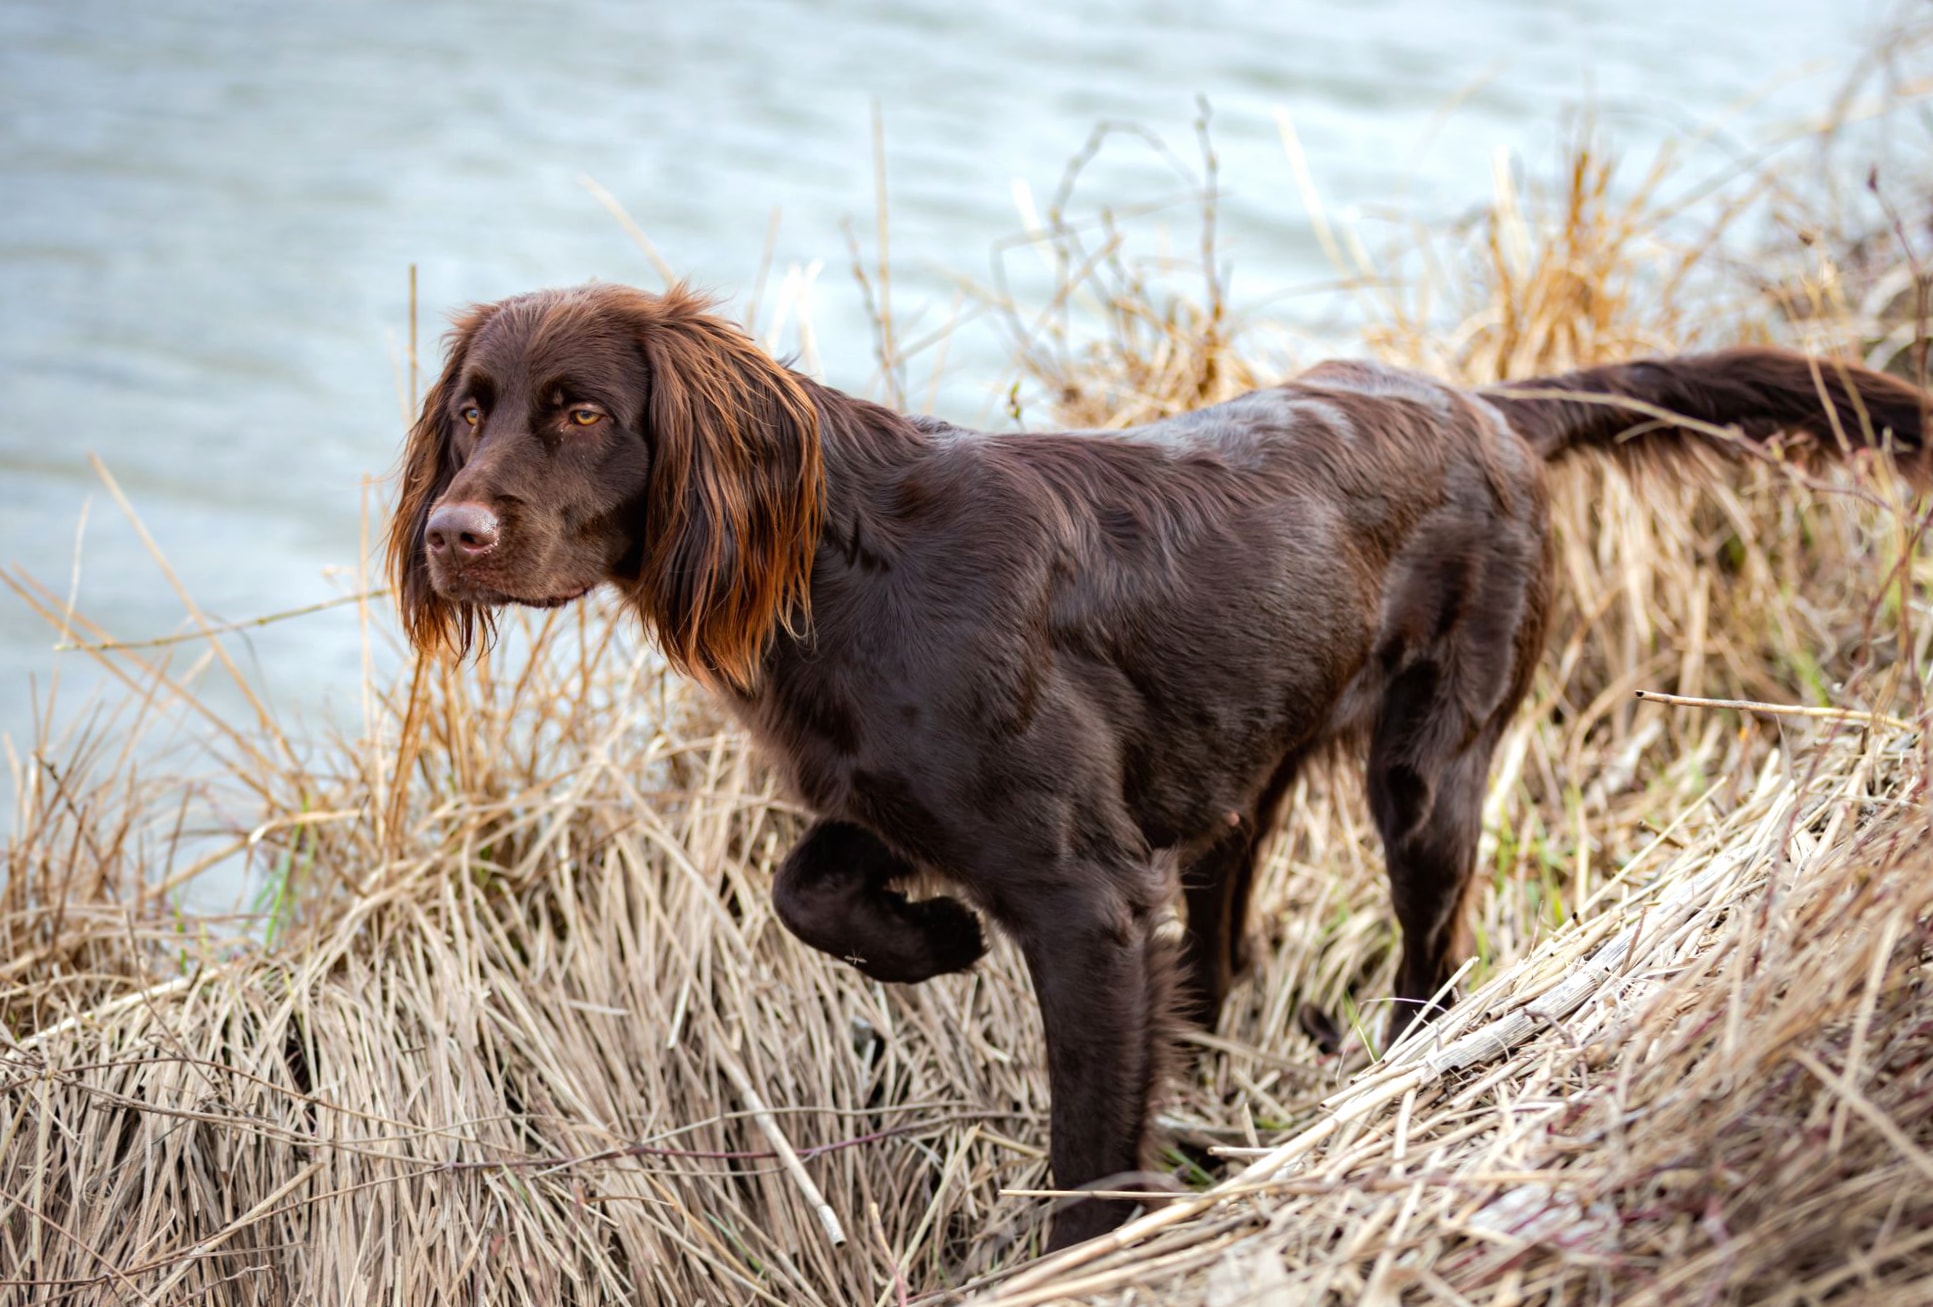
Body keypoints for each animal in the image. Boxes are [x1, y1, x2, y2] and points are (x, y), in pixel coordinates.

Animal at [384, 284, 1925, 1245]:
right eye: (469, 409)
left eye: (584, 411)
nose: (452, 532)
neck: (846, 562)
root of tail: (1484, 403)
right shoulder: (900, 798)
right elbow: (803, 883)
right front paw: (930, 938)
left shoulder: (1089, 899)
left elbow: (1085, 1147)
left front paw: (1076, 1250)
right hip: (1238, 777)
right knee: (1226, 940)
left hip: (1428, 770)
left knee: (1431, 952)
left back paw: (1399, 1064)